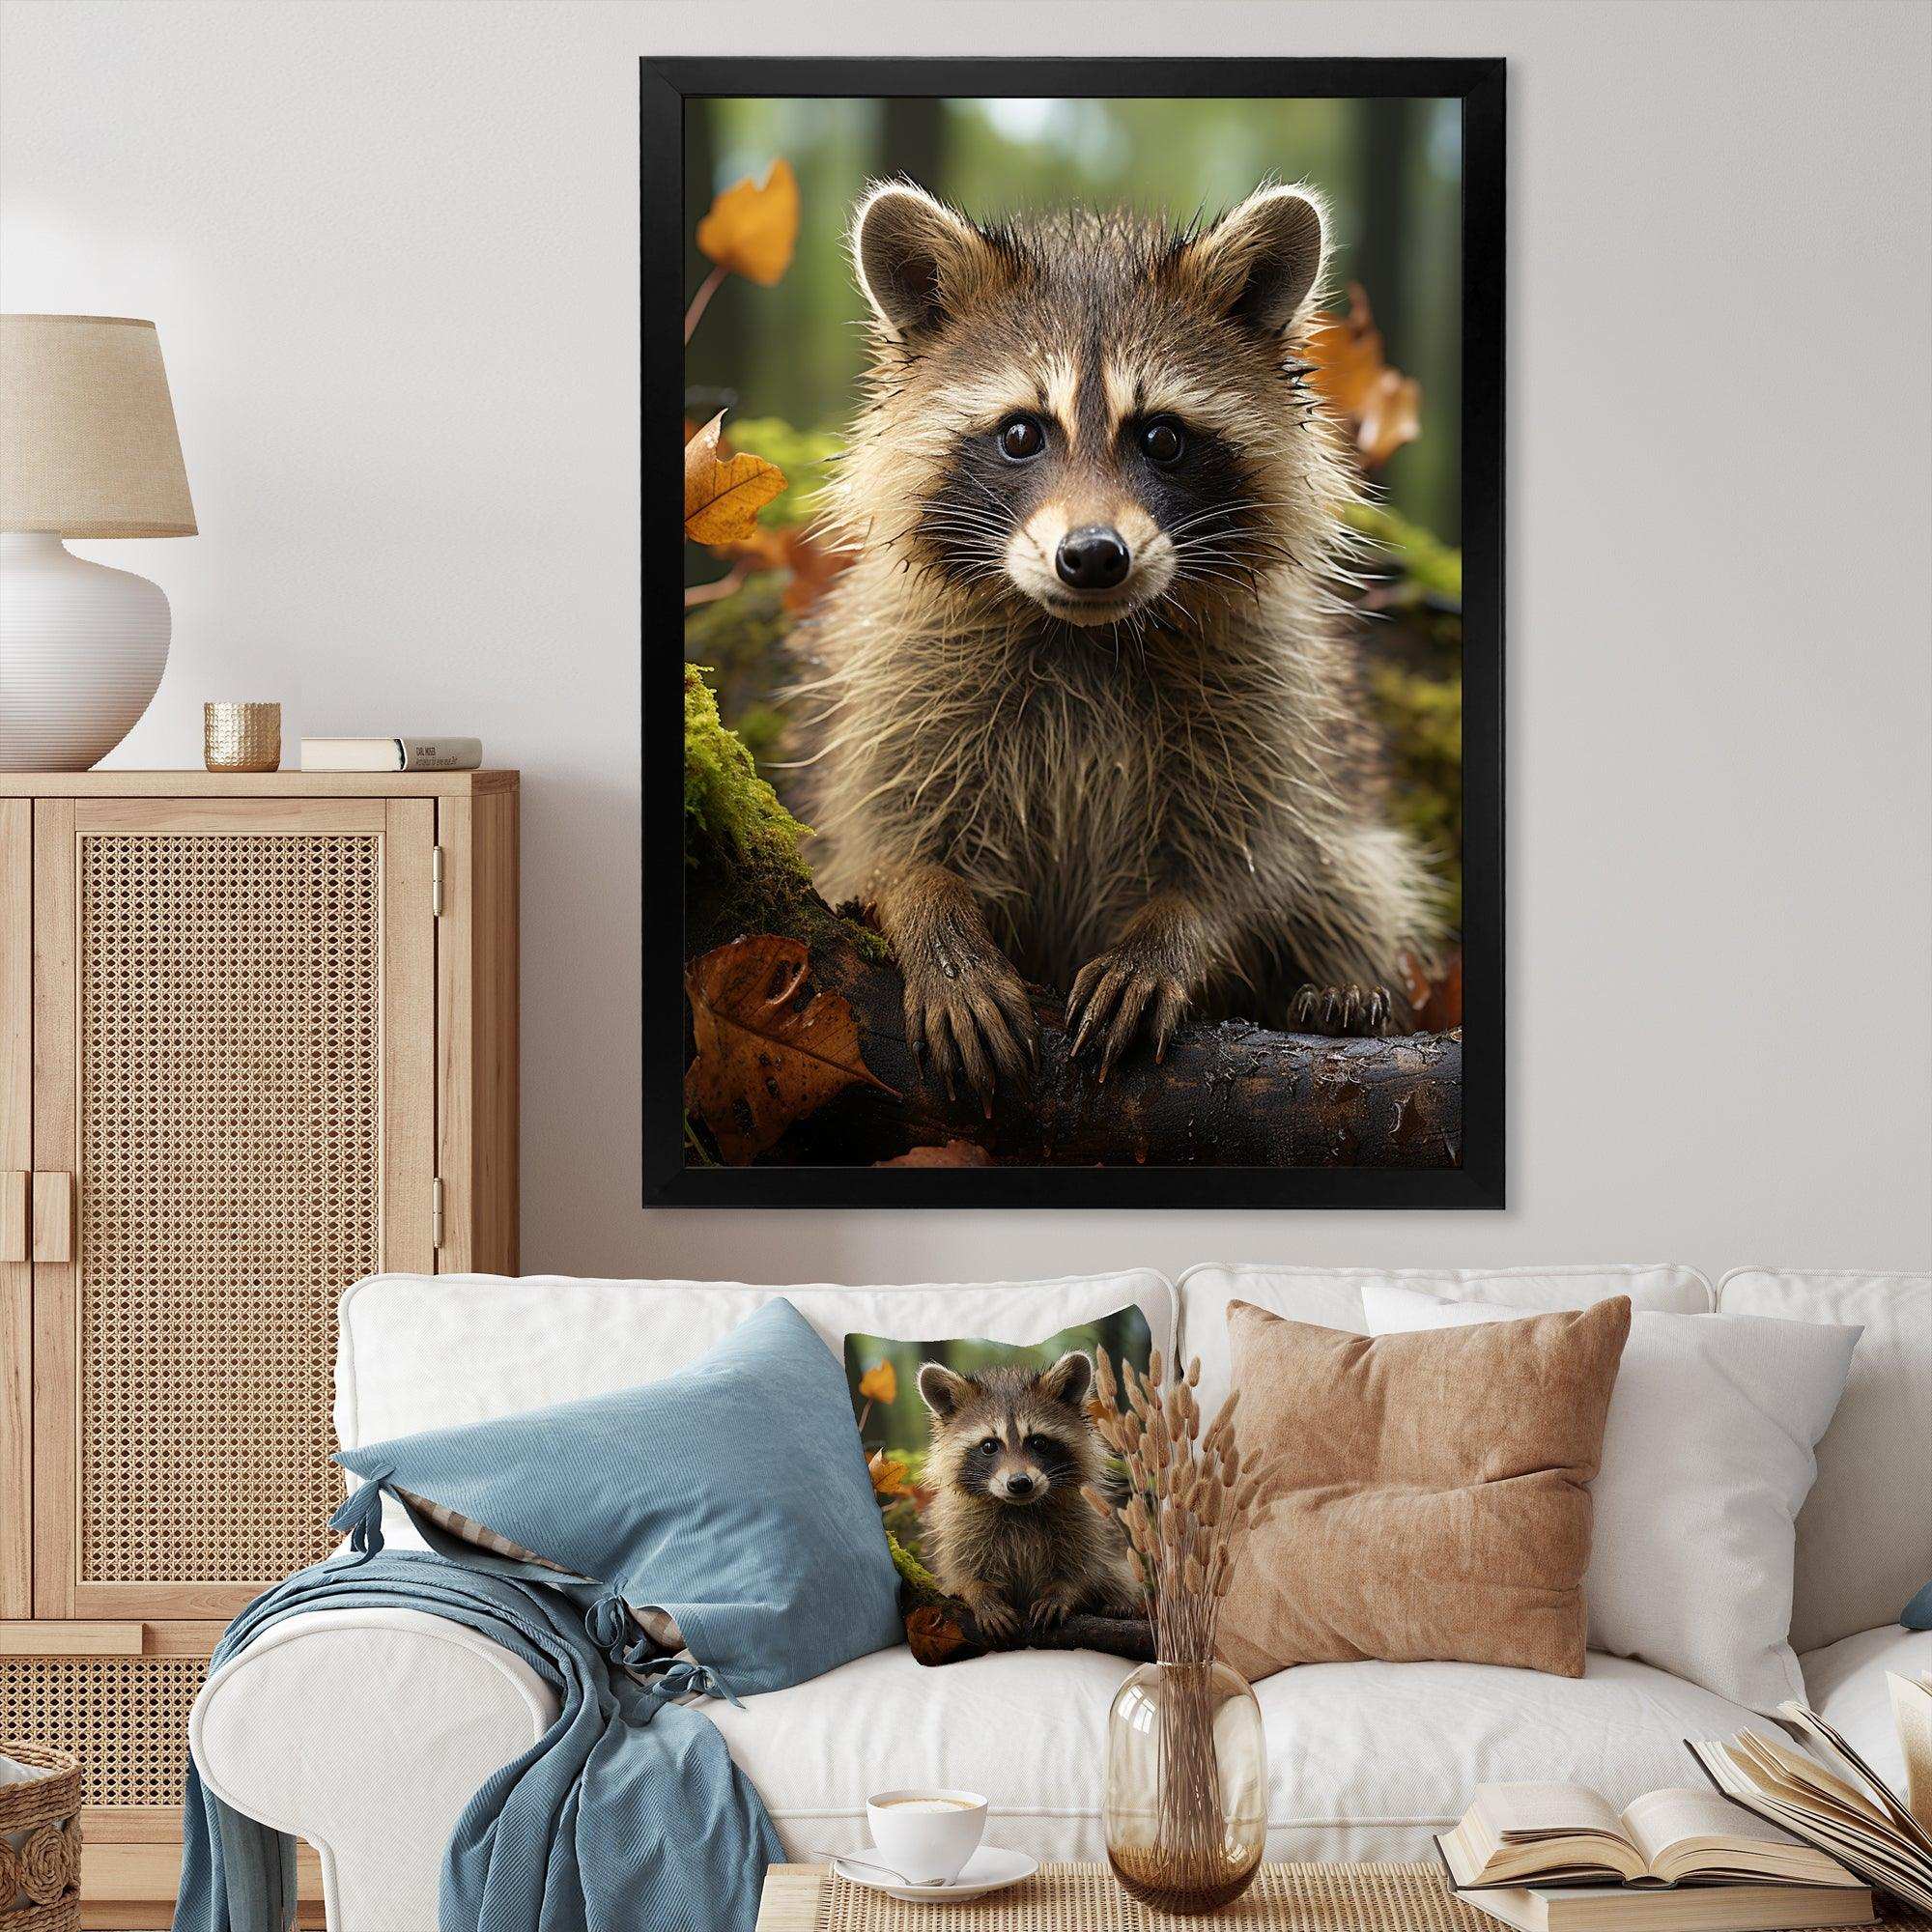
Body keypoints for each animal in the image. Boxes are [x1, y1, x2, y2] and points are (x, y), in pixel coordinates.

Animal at [784, 178, 1444, 1099]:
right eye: (1021, 433)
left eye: (1161, 437)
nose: (1093, 556)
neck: (1082, 637)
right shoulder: (896, 677)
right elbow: (879, 834)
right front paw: (932, 918)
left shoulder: (1275, 694)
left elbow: (1252, 863)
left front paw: (1173, 935)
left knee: (1354, 883)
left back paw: (1341, 995)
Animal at [916, 1350, 1139, 1641]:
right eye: (989, 1446)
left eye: (1039, 1442)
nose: (1020, 1483)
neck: (1019, 1508)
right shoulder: (958, 1524)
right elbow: (960, 1570)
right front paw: (980, 1595)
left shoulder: (1084, 1519)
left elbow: (1085, 1568)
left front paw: (1062, 1591)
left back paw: (1120, 1604)